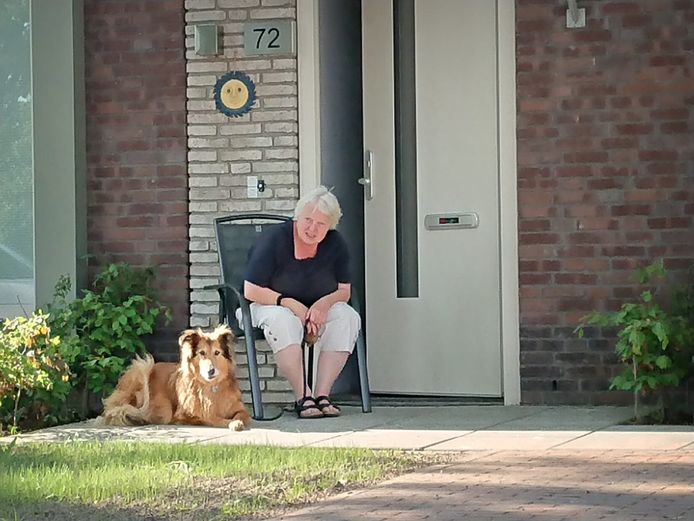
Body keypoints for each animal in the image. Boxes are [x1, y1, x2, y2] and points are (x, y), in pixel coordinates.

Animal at [96, 324, 251, 430]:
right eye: (202, 353)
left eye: (217, 353)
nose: (211, 371)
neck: (212, 387)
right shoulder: (188, 414)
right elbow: (212, 417)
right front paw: (231, 422)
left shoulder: (240, 408)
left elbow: (243, 414)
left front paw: (237, 421)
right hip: (144, 366)